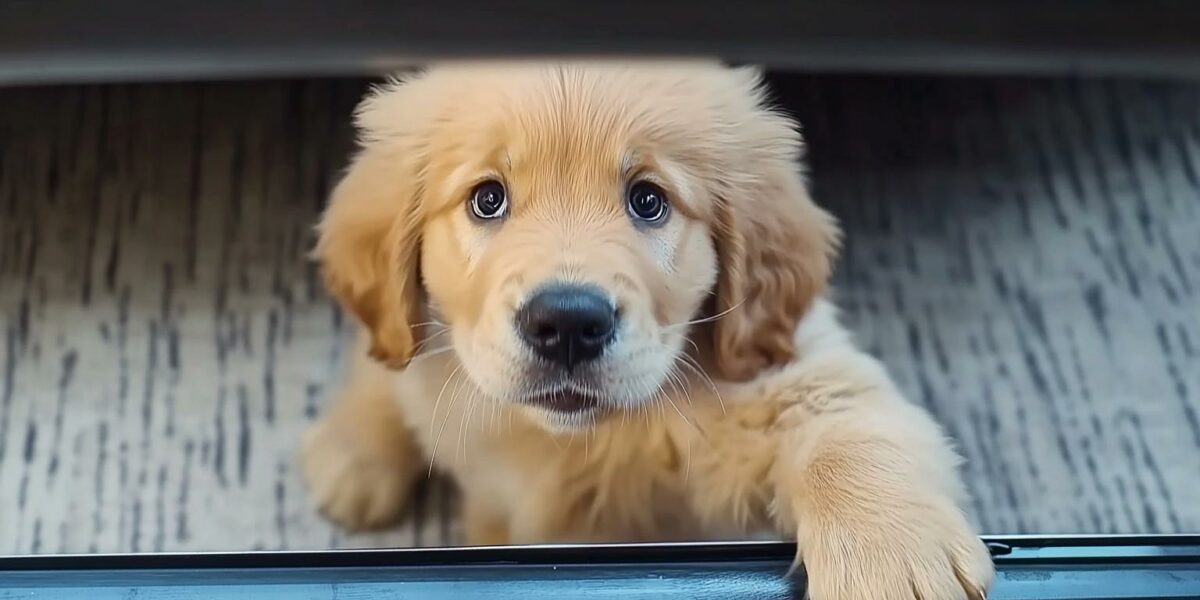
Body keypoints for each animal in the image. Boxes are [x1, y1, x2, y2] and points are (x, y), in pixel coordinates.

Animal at [302, 62, 993, 600]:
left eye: (648, 200)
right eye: (487, 199)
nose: (567, 324)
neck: (577, 438)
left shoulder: (782, 382)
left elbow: (843, 434)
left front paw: (890, 561)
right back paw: (352, 456)